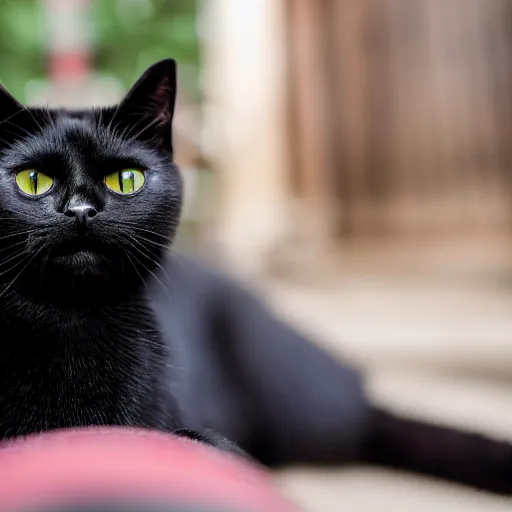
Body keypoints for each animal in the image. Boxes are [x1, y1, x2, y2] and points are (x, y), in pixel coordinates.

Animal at [0, 60, 508, 496]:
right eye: (32, 180)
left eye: (125, 180)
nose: (81, 210)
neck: (70, 324)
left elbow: (204, 442)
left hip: (301, 404)